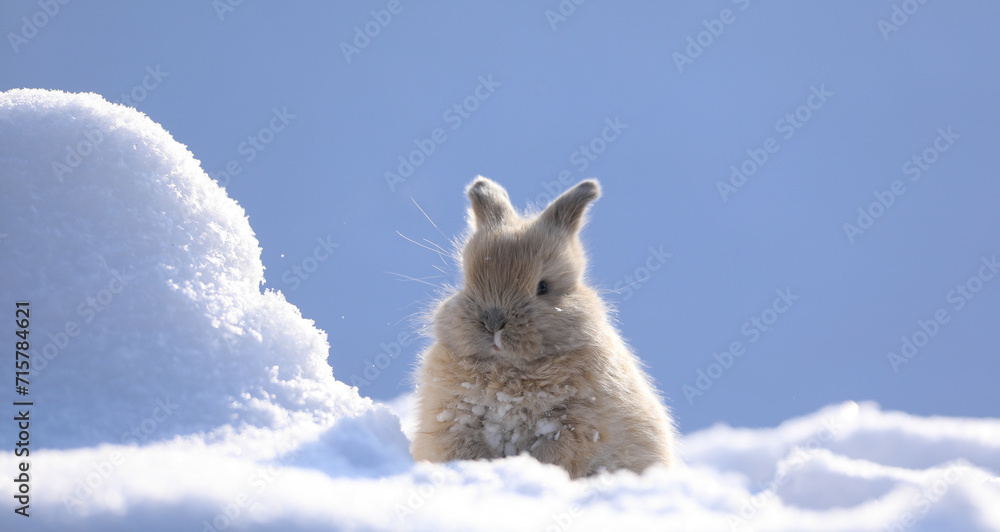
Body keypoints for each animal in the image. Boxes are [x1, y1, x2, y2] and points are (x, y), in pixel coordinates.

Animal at [408, 176, 680, 478]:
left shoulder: (577, 423)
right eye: (467, 282)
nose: (493, 324)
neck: (509, 368)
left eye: (543, 287)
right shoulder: (453, 418)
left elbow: (558, 453)